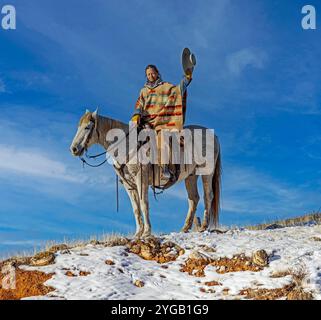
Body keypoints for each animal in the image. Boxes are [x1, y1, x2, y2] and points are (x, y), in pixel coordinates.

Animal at [69, 110, 220, 238]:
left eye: (87, 127)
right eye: (78, 126)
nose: (74, 149)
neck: (128, 146)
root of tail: (214, 136)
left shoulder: (141, 180)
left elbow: (143, 204)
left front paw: (147, 232)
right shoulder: (129, 185)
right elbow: (136, 208)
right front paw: (138, 234)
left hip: (207, 173)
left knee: (208, 196)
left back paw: (204, 226)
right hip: (191, 177)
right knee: (193, 198)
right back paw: (185, 228)